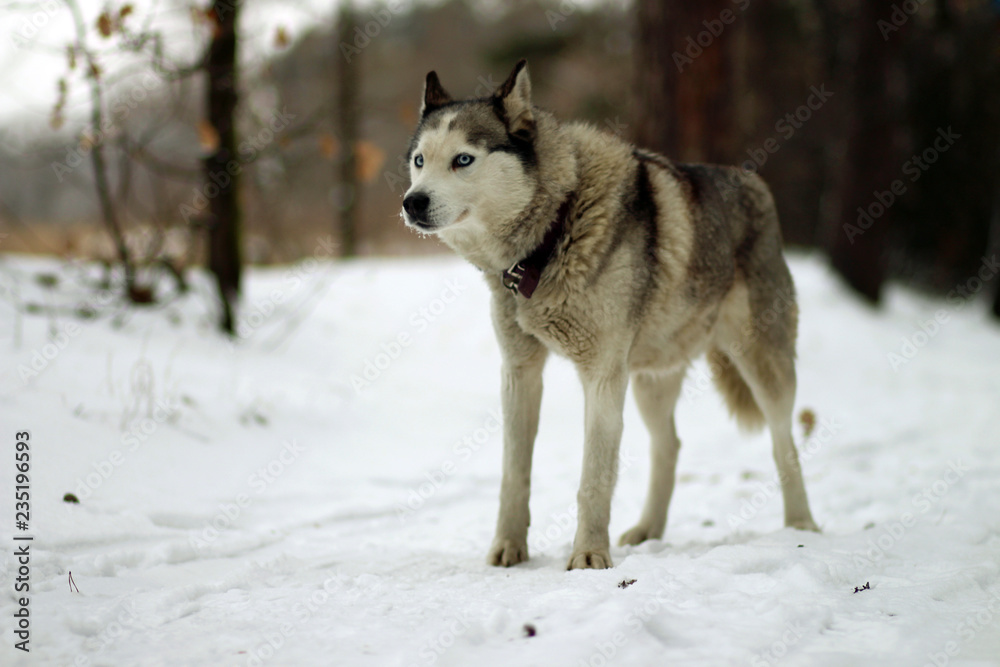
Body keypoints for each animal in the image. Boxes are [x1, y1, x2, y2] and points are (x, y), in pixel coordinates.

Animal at [400, 60, 820, 568]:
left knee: (783, 441)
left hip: (763, 368)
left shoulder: (601, 376)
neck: (554, 231)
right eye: (420, 161)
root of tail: (754, 183)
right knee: (669, 446)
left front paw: (588, 557)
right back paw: (647, 531)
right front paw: (508, 549)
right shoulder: (520, 372)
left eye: (463, 159)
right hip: (650, 383)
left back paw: (801, 526)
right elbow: (514, 474)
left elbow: (593, 480)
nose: (412, 202)